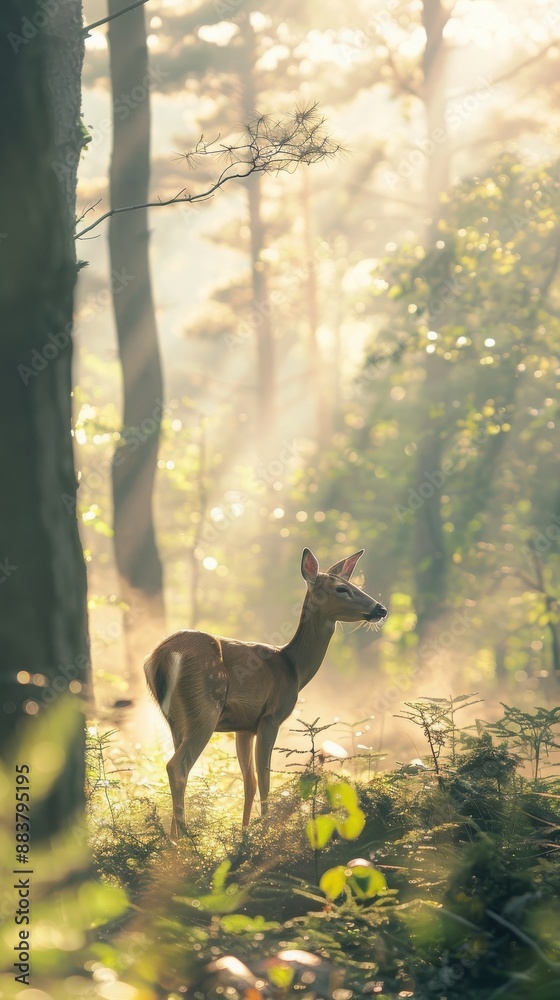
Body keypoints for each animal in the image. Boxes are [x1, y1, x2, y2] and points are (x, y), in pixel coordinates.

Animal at [144, 547, 387, 838]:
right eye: (342, 589)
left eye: (357, 585)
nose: (381, 608)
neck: (294, 667)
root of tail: (162, 656)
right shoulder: (270, 716)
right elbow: (266, 778)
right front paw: (267, 831)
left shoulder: (243, 727)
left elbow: (248, 781)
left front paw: (245, 833)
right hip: (205, 706)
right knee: (177, 766)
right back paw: (186, 841)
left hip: (175, 719)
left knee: (175, 765)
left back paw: (171, 841)